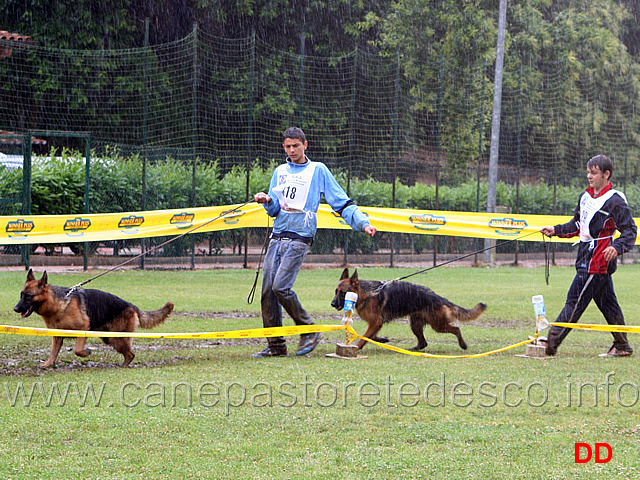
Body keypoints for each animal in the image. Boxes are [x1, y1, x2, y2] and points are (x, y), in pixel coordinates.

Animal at [14, 270, 174, 368]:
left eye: (28, 296)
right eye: (21, 294)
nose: (16, 309)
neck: (58, 304)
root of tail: (131, 306)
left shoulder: (83, 328)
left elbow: (77, 349)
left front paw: (86, 353)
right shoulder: (57, 336)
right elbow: (53, 352)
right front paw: (48, 364)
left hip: (116, 338)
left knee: (131, 354)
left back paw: (123, 366)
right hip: (109, 339)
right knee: (129, 353)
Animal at [332, 268, 488, 350]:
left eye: (343, 293)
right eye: (336, 291)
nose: (332, 304)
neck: (364, 293)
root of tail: (439, 298)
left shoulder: (375, 322)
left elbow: (364, 337)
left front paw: (357, 347)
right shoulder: (376, 323)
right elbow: (370, 335)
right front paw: (381, 339)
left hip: (438, 325)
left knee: (456, 329)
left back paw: (463, 344)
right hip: (415, 324)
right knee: (423, 343)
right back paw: (414, 349)